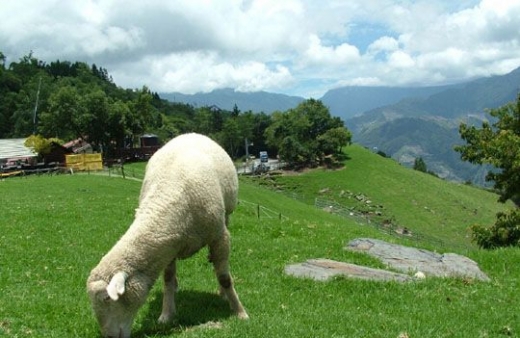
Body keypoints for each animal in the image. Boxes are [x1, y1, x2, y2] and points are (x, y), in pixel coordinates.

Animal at [86, 133, 249, 338]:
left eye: (107, 298)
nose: (108, 336)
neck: (168, 196)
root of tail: (190, 134)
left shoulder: (218, 236)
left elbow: (225, 278)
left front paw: (240, 312)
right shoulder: (167, 243)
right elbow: (168, 279)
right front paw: (167, 314)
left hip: (226, 217)